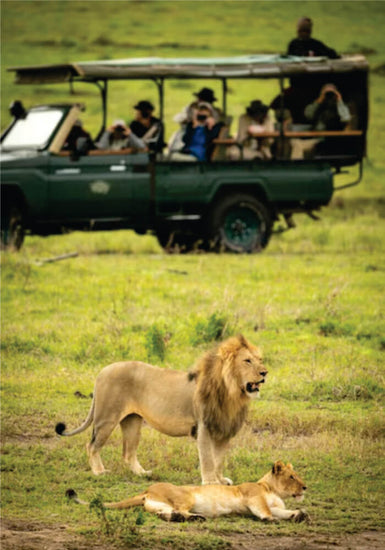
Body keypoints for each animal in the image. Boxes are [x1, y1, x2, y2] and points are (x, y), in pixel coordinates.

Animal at [55, 334, 266, 486]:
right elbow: (208, 458)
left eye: (260, 359)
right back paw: (99, 472)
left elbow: (219, 459)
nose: (265, 372)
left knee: (128, 453)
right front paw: (211, 482)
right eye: (247, 361)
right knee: (91, 445)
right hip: (106, 418)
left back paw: (142, 474)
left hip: (132, 421)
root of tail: (102, 371)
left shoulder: (224, 429)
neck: (233, 392)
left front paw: (221, 479)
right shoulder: (204, 426)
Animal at [66, 464, 306, 524]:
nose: (305, 487)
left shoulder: (274, 504)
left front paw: (300, 514)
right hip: (187, 497)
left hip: (158, 505)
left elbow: (285, 512)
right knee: (181, 509)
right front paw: (269, 519)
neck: (271, 489)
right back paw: (196, 518)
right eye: (292, 477)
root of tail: (146, 490)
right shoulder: (252, 497)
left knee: (166, 514)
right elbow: (265, 511)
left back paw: (178, 518)